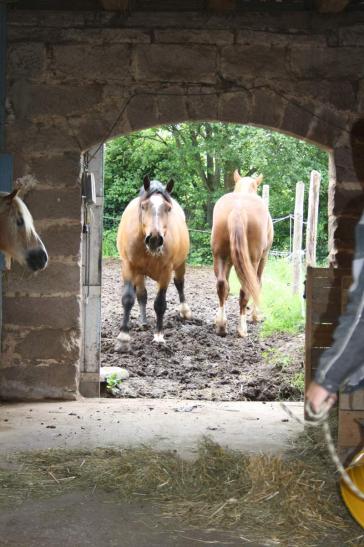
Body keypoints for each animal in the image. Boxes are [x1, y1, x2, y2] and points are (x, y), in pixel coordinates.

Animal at [116, 178, 191, 354]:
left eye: (168, 208)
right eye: (144, 206)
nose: (155, 239)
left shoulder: (166, 272)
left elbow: (160, 304)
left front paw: (159, 336)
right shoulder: (129, 267)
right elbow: (129, 298)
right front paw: (123, 337)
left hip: (180, 264)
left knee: (179, 283)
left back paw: (184, 310)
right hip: (139, 273)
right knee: (142, 295)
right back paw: (143, 322)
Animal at [210, 170, 272, 338]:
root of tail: (238, 209)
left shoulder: (229, 259)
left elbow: (227, 288)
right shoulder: (263, 257)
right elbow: (258, 284)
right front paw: (255, 317)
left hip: (219, 256)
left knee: (221, 285)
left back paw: (221, 326)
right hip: (253, 259)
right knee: (246, 290)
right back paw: (242, 329)